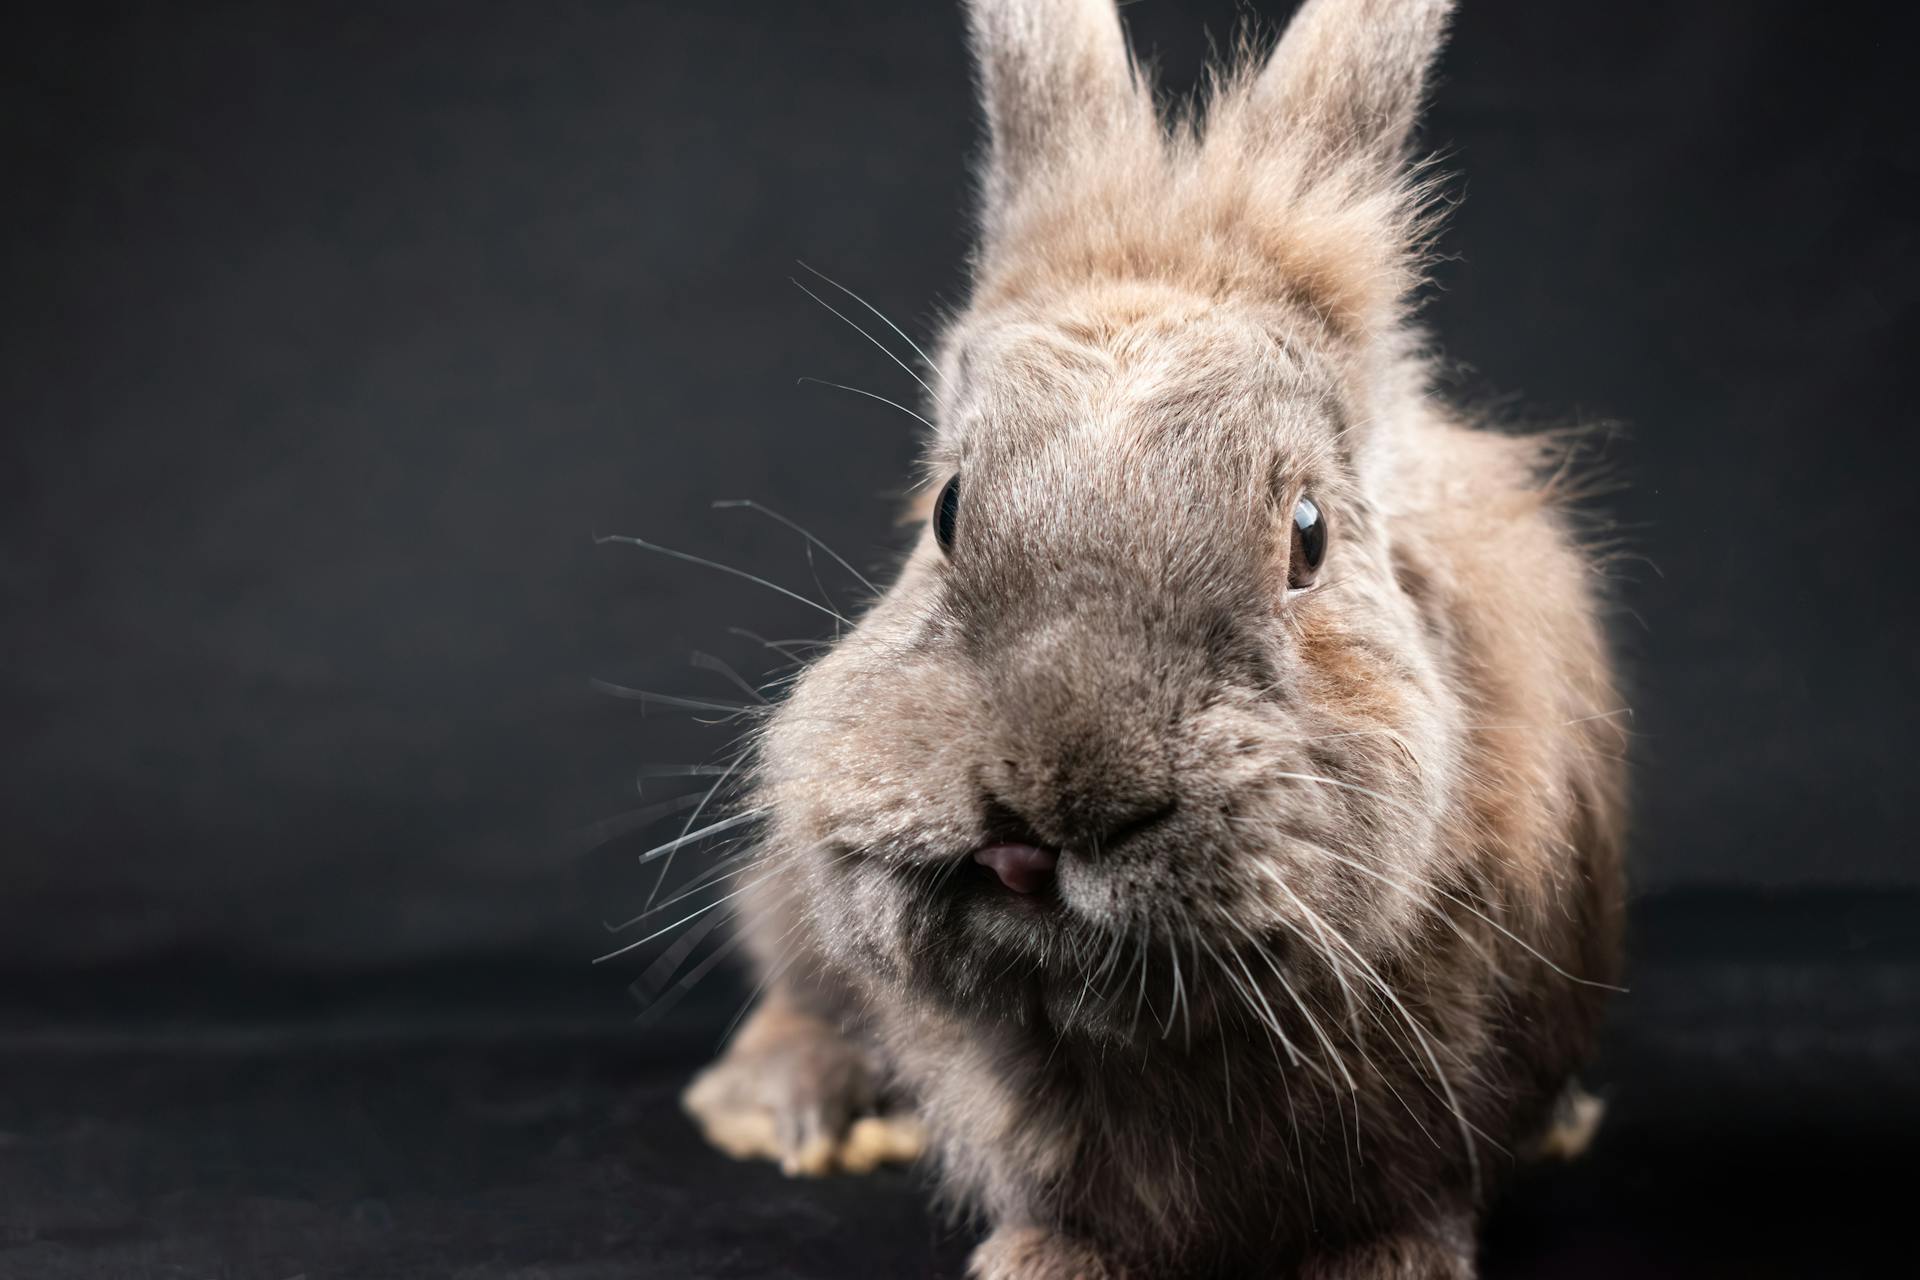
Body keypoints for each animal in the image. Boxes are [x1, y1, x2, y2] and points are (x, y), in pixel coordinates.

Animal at [675, 0, 1620, 1274]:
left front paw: (1386, 1261)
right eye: (948, 509)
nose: (1037, 820)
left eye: (1308, 535)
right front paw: (1038, 1259)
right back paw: (789, 1108)